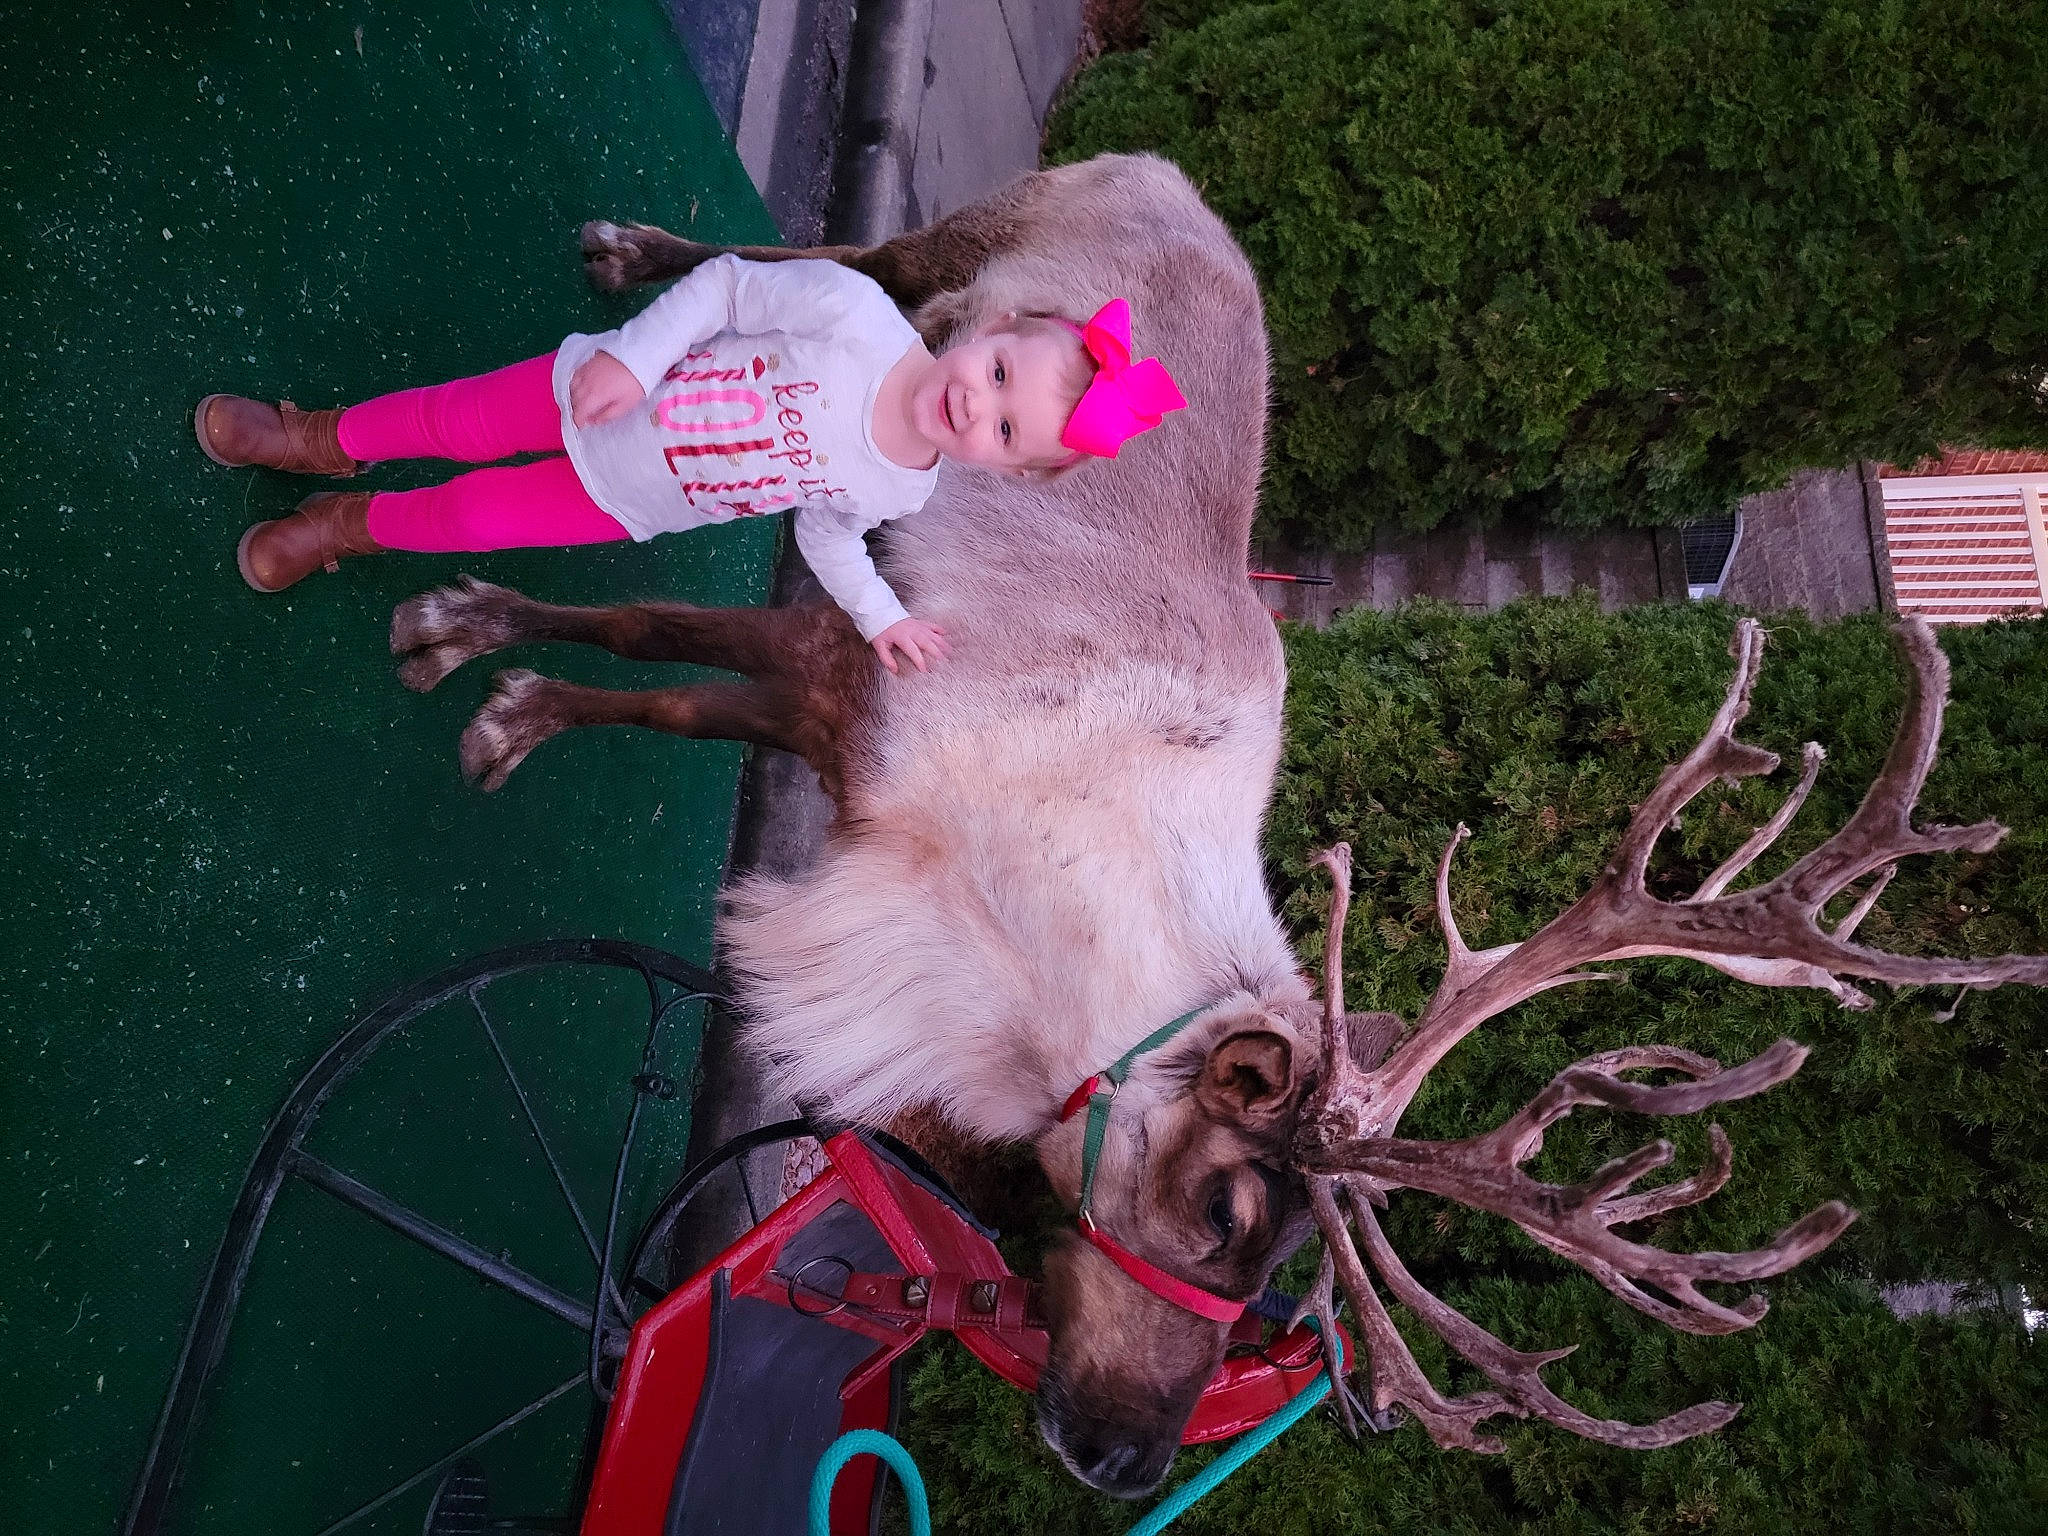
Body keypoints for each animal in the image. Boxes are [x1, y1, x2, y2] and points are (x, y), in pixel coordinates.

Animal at [384, 153, 2048, 1497]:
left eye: (1281, 1284)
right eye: (1224, 1203)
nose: (1120, 1460)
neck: (1038, 920)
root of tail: (1181, 180)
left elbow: (674, 677)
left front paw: (493, 670)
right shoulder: (856, 682)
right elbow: (658, 650)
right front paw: (481, 662)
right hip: (982, 226)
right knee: (846, 256)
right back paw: (629, 255)